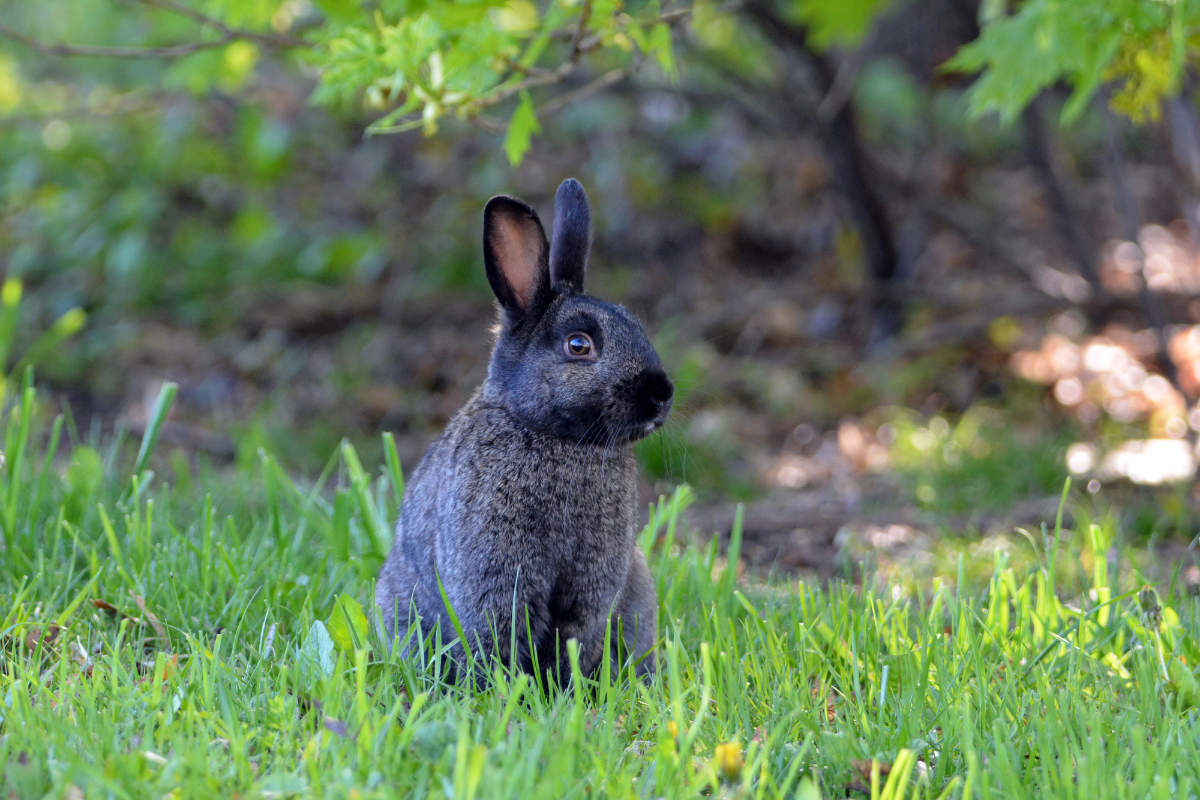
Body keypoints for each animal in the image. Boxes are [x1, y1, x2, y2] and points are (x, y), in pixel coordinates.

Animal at [376, 178, 676, 686]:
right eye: (579, 345)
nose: (661, 394)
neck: (556, 437)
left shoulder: (591, 590)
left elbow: (574, 639)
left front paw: (560, 690)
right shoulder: (495, 577)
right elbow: (500, 634)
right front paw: (507, 690)